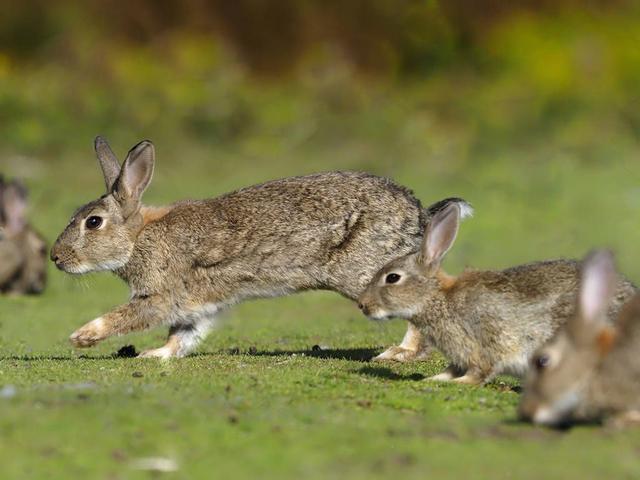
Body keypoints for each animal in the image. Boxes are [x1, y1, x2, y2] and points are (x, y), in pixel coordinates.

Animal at [50, 137, 470, 358]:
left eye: (93, 222)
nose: (56, 258)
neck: (138, 237)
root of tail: (419, 214)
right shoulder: (196, 304)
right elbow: (182, 333)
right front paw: (158, 356)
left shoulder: (162, 294)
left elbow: (130, 315)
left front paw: (81, 337)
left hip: (368, 274)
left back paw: (399, 354)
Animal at [358, 202, 632, 386]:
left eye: (393, 278)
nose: (362, 305)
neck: (437, 299)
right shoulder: (459, 355)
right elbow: (451, 369)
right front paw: (433, 379)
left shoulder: (483, 345)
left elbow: (479, 372)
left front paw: (456, 383)